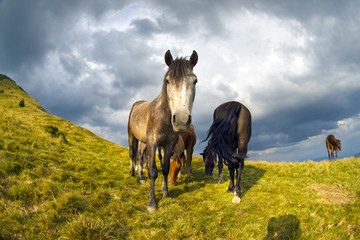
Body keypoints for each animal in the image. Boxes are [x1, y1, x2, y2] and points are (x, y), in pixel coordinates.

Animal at [128, 49, 198, 213]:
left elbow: (165, 168)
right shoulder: (153, 143)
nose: (181, 120)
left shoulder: (169, 145)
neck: (163, 116)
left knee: (139, 157)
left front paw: (166, 193)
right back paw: (133, 174)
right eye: (167, 81)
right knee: (133, 154)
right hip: (132, 137)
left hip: (142, 141)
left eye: (195, 81)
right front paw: (152, 203)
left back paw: (141, 178)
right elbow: (153, 171)